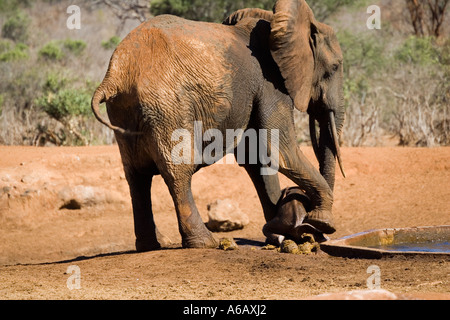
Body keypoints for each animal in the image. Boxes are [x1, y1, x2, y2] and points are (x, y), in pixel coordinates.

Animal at [90, 0, 344, 251]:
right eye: (335, 67)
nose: (309, 221)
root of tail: (115, 74)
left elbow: (256, 156)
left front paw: (281, 233)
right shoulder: (270, 83)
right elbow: (280, 150)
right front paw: (321, 222)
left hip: (124, 110)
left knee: (136, 175)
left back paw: (151, 245)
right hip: (167, 105)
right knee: (177, 170)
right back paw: (204, 243)